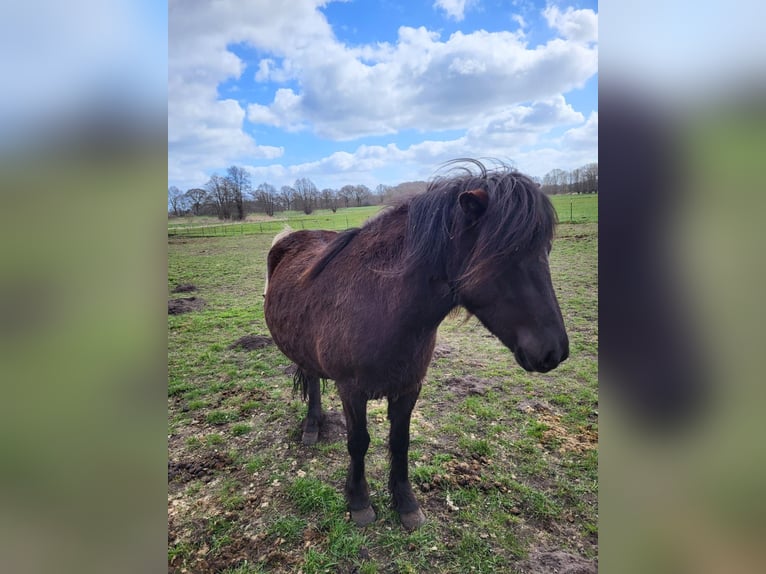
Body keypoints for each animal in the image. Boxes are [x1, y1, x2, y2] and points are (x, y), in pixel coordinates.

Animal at [263, 159, 569, 530]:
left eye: (546, 250)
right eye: (506, 254)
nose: (554, 351)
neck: (381, 305)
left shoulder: (409, 388)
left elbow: (400, 442)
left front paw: (406, 503)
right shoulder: (352, 390)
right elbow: (358, 442)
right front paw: (359, 501)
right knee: (309, 378)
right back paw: (311, 428)